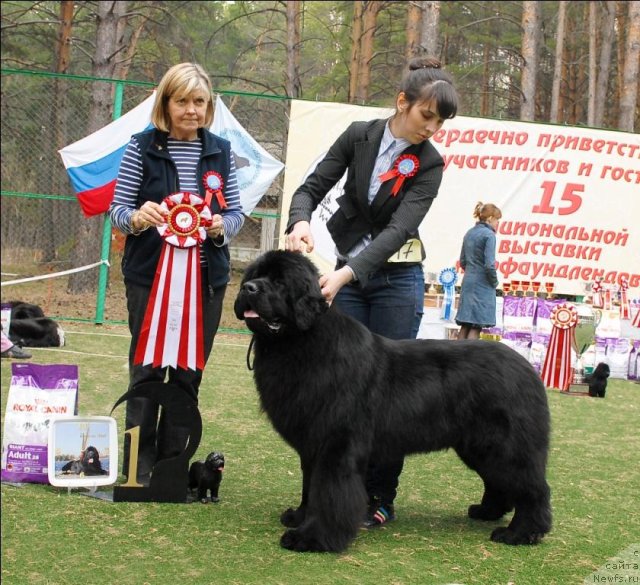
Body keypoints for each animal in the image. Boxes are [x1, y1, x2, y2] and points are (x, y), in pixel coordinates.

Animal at [232, 251, 552, 552]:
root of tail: (528, 368)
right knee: (499, 482)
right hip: (478, 447)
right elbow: (310, 486)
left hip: (504, 446)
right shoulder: (312, 444)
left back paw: (520, 533)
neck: (299, 342)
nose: (247, 287)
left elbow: (329, 493)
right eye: (255, 274)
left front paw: (313, 537)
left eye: (279, 281)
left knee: (532, 488)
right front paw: (299, 517)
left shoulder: (337, 444)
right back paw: (487, 511)